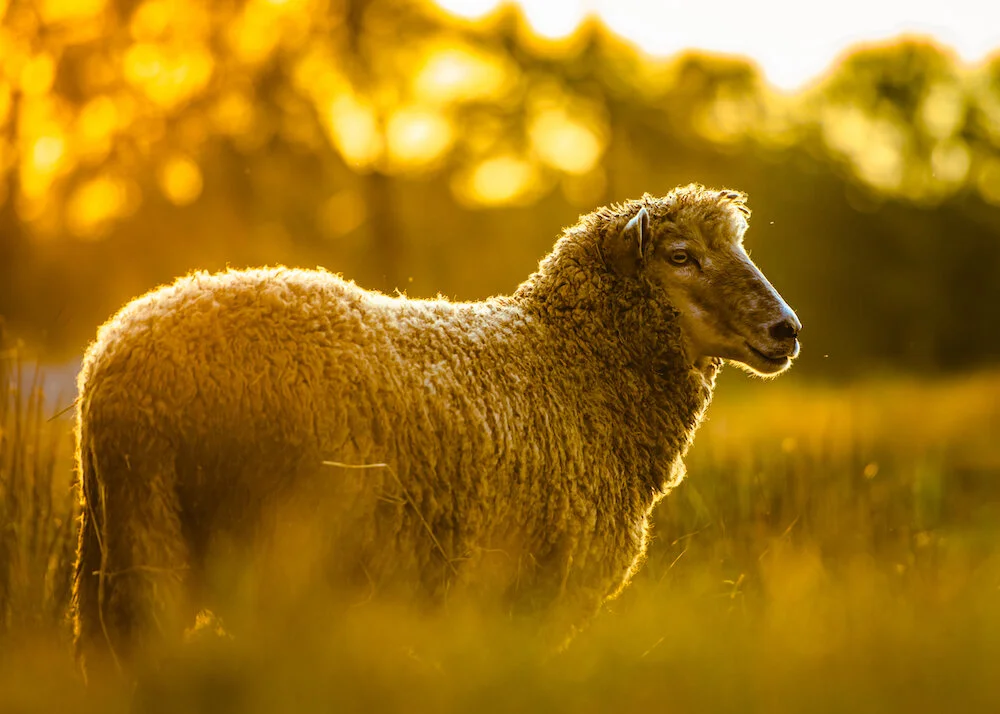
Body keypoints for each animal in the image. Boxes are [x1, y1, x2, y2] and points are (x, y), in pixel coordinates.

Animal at [72, 183, 801, 678]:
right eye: (681, 256)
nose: (787, 330)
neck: (568, 362)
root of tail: (117, 362)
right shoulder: (543, 586)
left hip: (119, 532)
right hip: (257, 542)